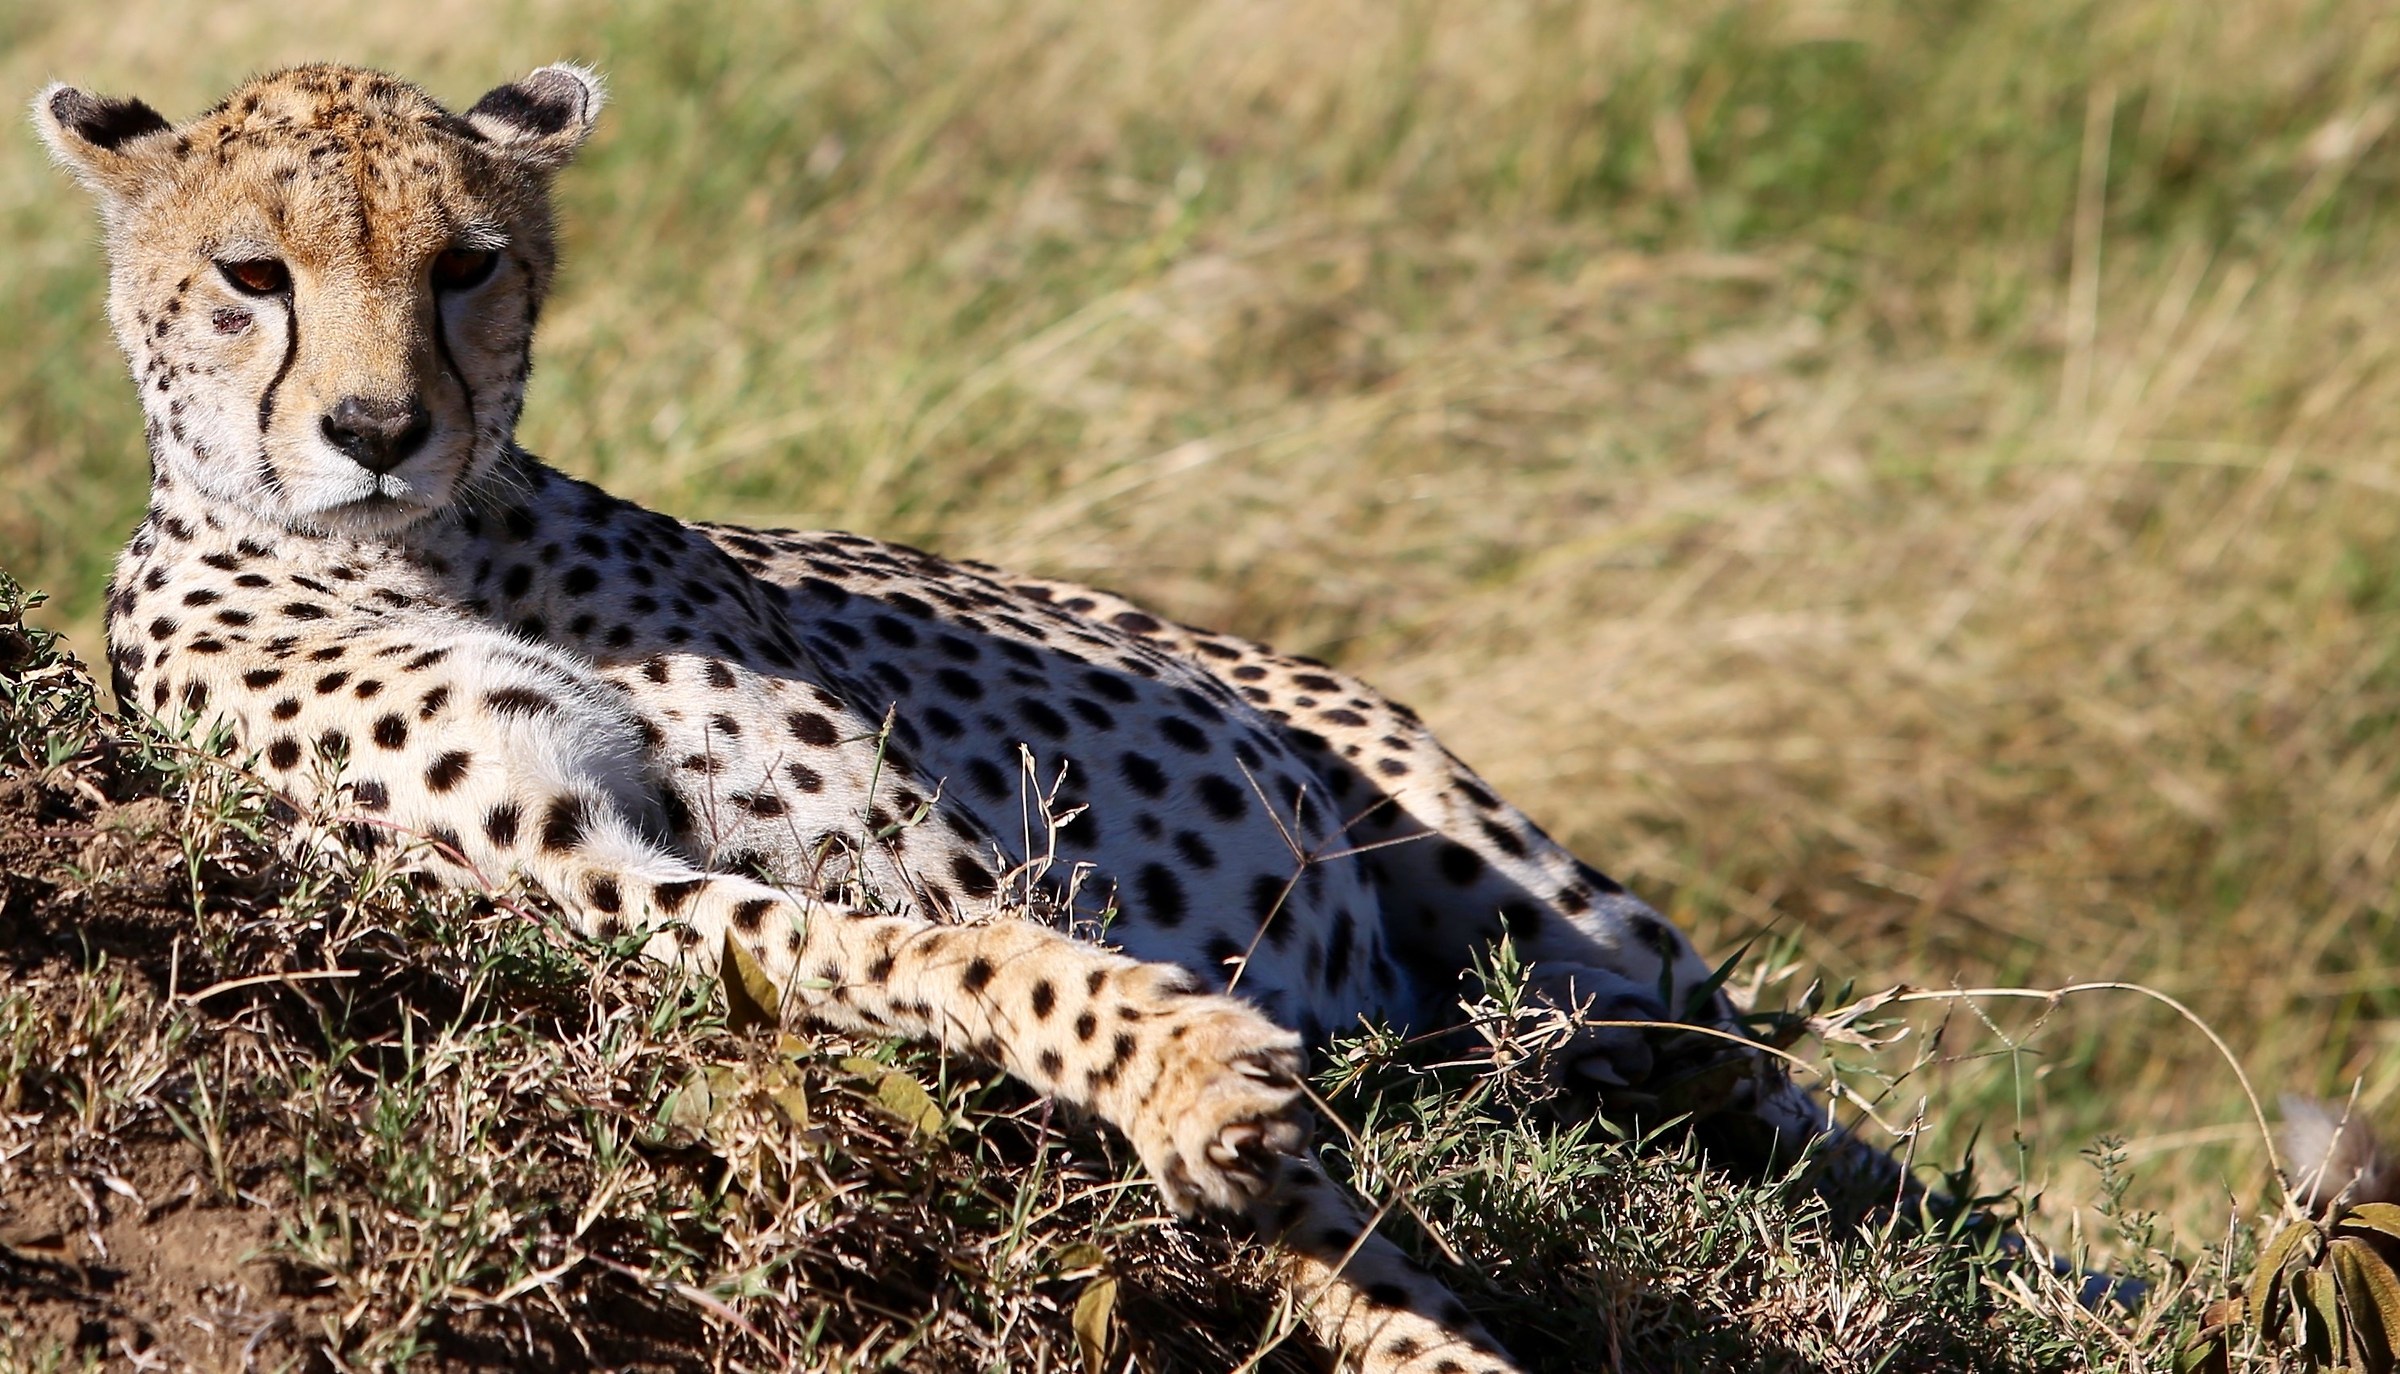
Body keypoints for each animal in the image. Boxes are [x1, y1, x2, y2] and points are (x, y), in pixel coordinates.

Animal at [35, 62, 1902, 1371]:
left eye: (465, 265)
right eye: (253, 273)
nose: (375, 428)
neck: (431, 543)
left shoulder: (928, 839)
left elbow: (1083, 1013)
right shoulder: (588, 875)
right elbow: (963, 974)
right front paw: (1206, 1097)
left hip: (1584, 936)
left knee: (1824, 1129)